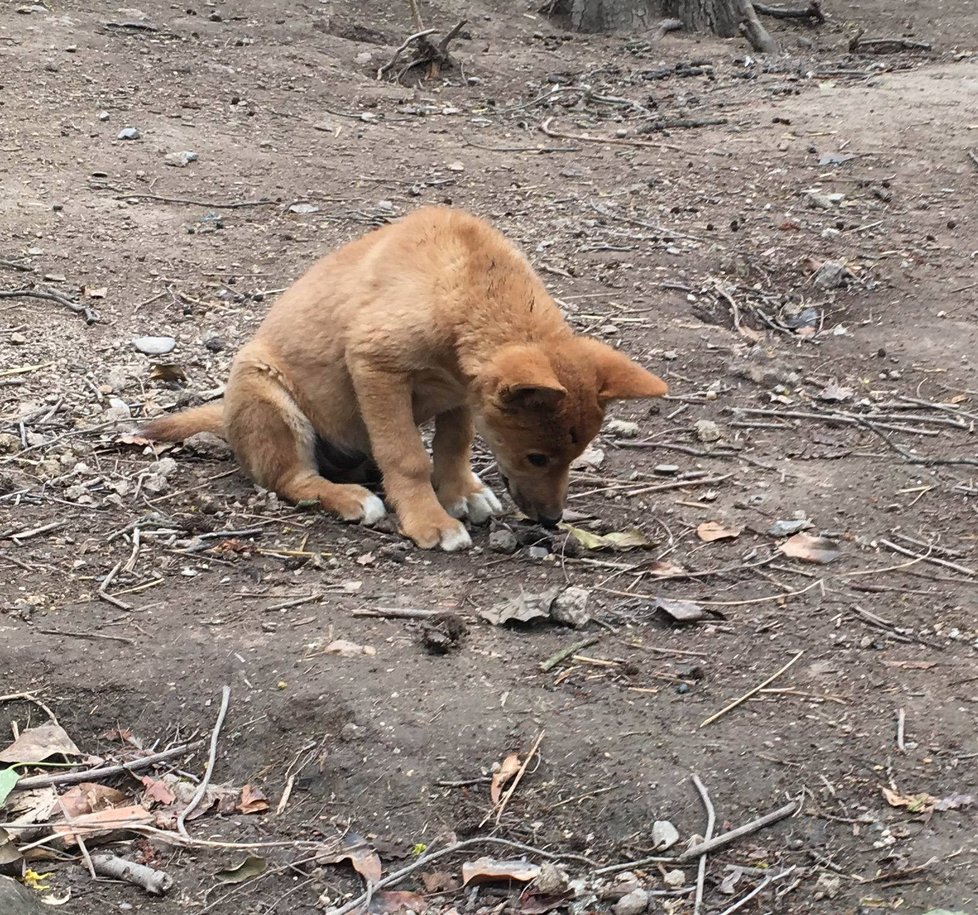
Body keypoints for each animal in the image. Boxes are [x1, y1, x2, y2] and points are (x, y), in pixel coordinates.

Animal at [141, 208, 668, 552]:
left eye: (574, 457)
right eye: (537, 457)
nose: (553, 520)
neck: (464, 281)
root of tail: (228, 417)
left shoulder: (462, 395)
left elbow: (454, 445)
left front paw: (458, 492)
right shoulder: (377, 368)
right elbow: (408, 456)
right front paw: (428, 519)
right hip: (268, 397)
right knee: (292, 478)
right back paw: (350, 497)